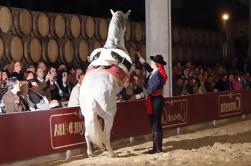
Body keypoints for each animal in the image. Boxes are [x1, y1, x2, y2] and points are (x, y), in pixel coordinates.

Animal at [80, 9, 131, 158]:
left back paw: (90, 153)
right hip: (109, 115)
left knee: (88, 134)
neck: (112, 46)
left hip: (87, 115)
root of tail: (91, 97)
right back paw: (112, 153)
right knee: (106, 135)